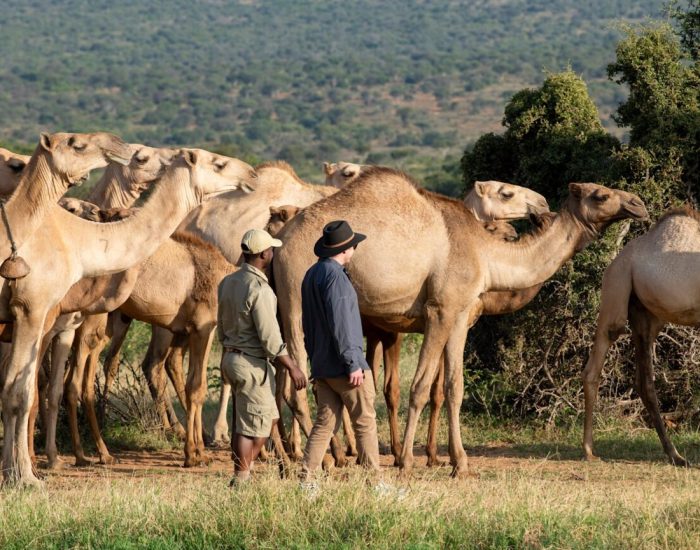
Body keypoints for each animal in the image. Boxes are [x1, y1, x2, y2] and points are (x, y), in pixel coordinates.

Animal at [0, 148, 255, 486]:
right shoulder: (204, 325)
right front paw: (194, 454)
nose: (252, 173)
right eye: (219, 163)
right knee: (66, 384)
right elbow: (197, 387)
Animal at [273, 167, 648, 477]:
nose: (638, 203)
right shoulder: (440, 310)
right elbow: (421, 387)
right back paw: (323, 458)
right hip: (295, 300)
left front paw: (460, 463)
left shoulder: (459, 316)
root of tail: (280, 243)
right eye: (600, 195)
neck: (485, 253)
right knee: (297, 385)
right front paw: (407, 461)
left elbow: (454, 388)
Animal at [582, 206, 700, 467]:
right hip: (616, 286)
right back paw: (588, 450)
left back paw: (675, 455)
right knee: (595, 365)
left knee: (644, 382)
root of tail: (618, 257)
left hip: (647, 316)